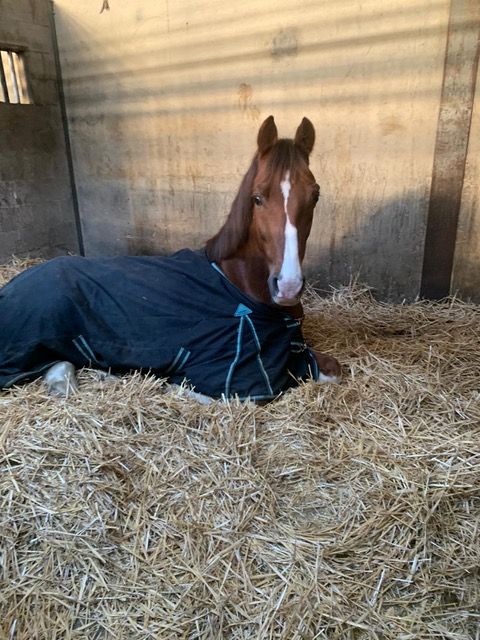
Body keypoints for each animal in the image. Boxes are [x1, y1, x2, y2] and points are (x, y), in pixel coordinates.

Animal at [0, 116, 340, 401]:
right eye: (257, 198)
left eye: (315, 195)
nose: (288, 286)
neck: (237, 284)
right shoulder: (235, 376)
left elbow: (333, 367)